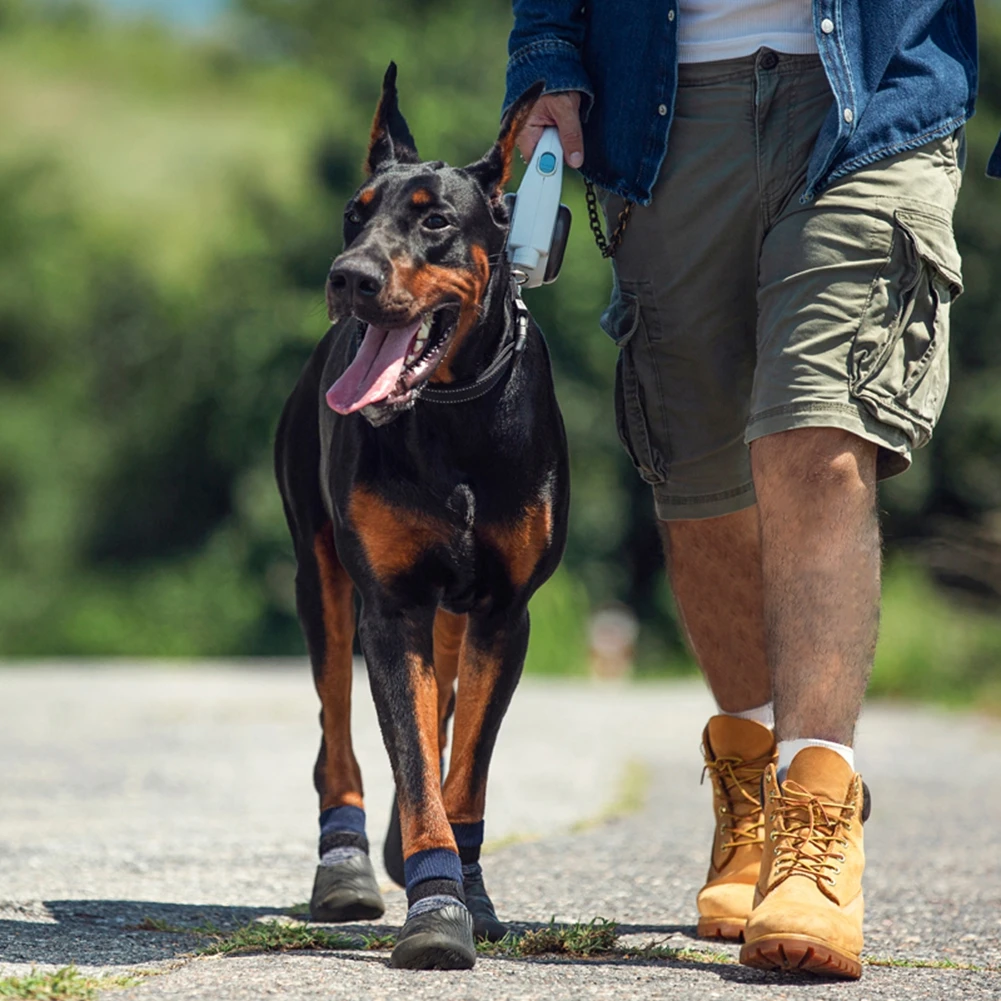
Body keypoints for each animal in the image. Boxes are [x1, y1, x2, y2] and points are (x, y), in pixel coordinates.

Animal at [274, 64, 572, 968]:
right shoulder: (391, 603)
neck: (451, 411)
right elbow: (410, 754)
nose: (350, 277)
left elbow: (461, 762)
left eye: (435, 219)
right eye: (354, 211)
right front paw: (437, 905)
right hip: (322, 575)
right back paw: (346, 860)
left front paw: (464, 889)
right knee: (337, 729)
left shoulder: (505, 610)